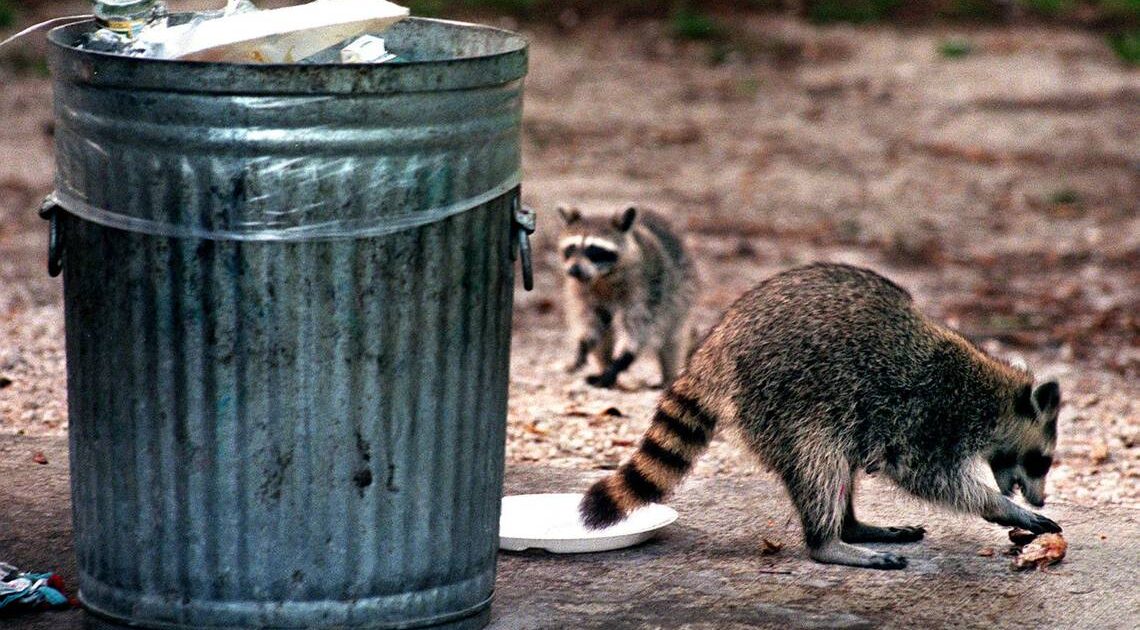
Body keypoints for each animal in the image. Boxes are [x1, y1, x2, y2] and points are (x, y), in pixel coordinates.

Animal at [557, 204, 699, 389]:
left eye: (594, 250)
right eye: (571, 248)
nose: (574, 270)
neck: (603, 277)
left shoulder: (646, 287)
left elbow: (639, 325)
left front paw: (622, 358)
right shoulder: (580, 289)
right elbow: (589, 319)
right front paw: (583, 344)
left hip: (681, 292)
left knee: (672, 338)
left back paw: (667, 376)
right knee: (605, 335)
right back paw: (604, 367)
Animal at [580, 263, 1062, 570]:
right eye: (1041, 460)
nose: (1039, 498)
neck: (995, 397)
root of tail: (723, 336)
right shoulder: (931, 413)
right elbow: (929, 476)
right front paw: (1000, 506)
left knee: (838, 461)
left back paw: (851, 526)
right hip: (782, 398)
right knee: (820, 462)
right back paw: (828, 541)